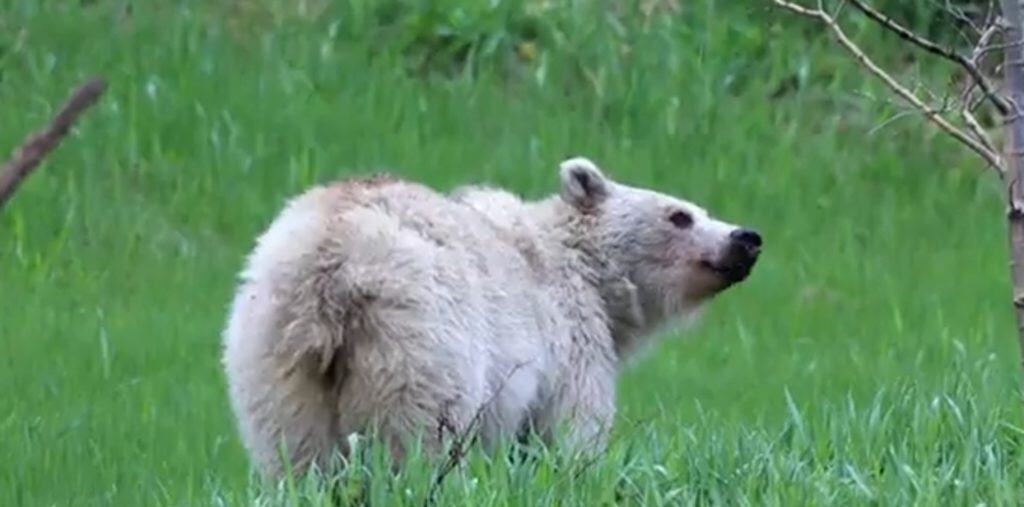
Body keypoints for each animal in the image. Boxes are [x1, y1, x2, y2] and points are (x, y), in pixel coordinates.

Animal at [221, 157, 761, 479]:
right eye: (679, 215)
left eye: (700, 209)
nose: (746, 237)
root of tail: (331, 266)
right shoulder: (568, 336)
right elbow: (571, 425)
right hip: (420, 340)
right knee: (419, 441)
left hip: (272, 353)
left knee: (295, 451)